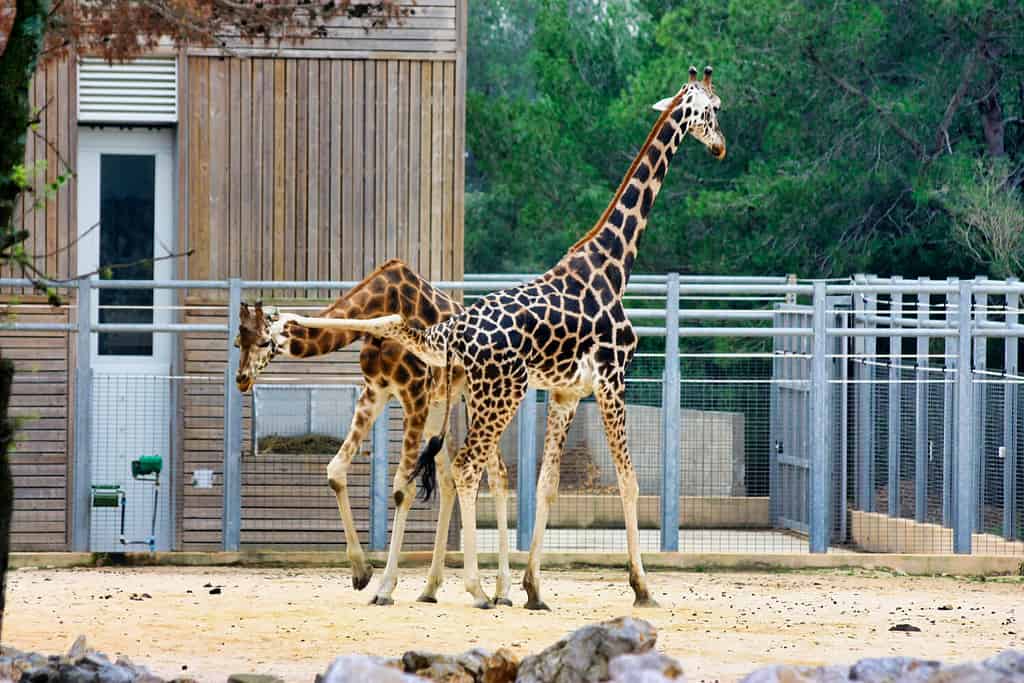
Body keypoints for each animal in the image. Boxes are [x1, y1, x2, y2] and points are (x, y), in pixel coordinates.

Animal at [233, 258, 515, 607]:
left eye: (262, 342)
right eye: (237, 342)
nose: (241, 378)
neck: (382, 303)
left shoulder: (413, 394)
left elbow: (402, 489)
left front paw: (385, 588)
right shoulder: (376, 390)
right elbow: (335, 471)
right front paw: (361, 571)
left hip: (480, 397)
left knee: (498, 475)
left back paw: (499, 591)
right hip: (442, 406)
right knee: (450, 479)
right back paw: (431, 588)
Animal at [294, 67, 726, 609]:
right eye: (715, 110)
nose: (721, 147)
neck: (614, 264)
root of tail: (454, 331)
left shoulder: (567, 392)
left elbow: (546, 486)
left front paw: (534, 588)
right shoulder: (611, 380)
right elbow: (629, 483)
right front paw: (642, 587)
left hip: (469, 397)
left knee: (451, 471)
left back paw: (423, 583)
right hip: (497, 396)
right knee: (463, 470)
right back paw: (471, 588)